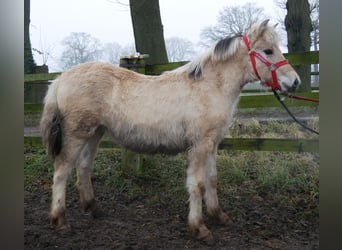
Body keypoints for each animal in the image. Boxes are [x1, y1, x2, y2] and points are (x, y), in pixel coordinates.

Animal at [40, 20, 300, 242]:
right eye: (268, 51)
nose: (295, 82)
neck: (209, 86)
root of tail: (60, 79)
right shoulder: (199, 145)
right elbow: (197, 184)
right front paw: (199, 227)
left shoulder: (212, 144)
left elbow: (212, 179)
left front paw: (218, 215)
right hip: (76, 134)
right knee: (61, 172)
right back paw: (60, 220)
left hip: (94, 133)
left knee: (83, 167)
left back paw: (94, 208)